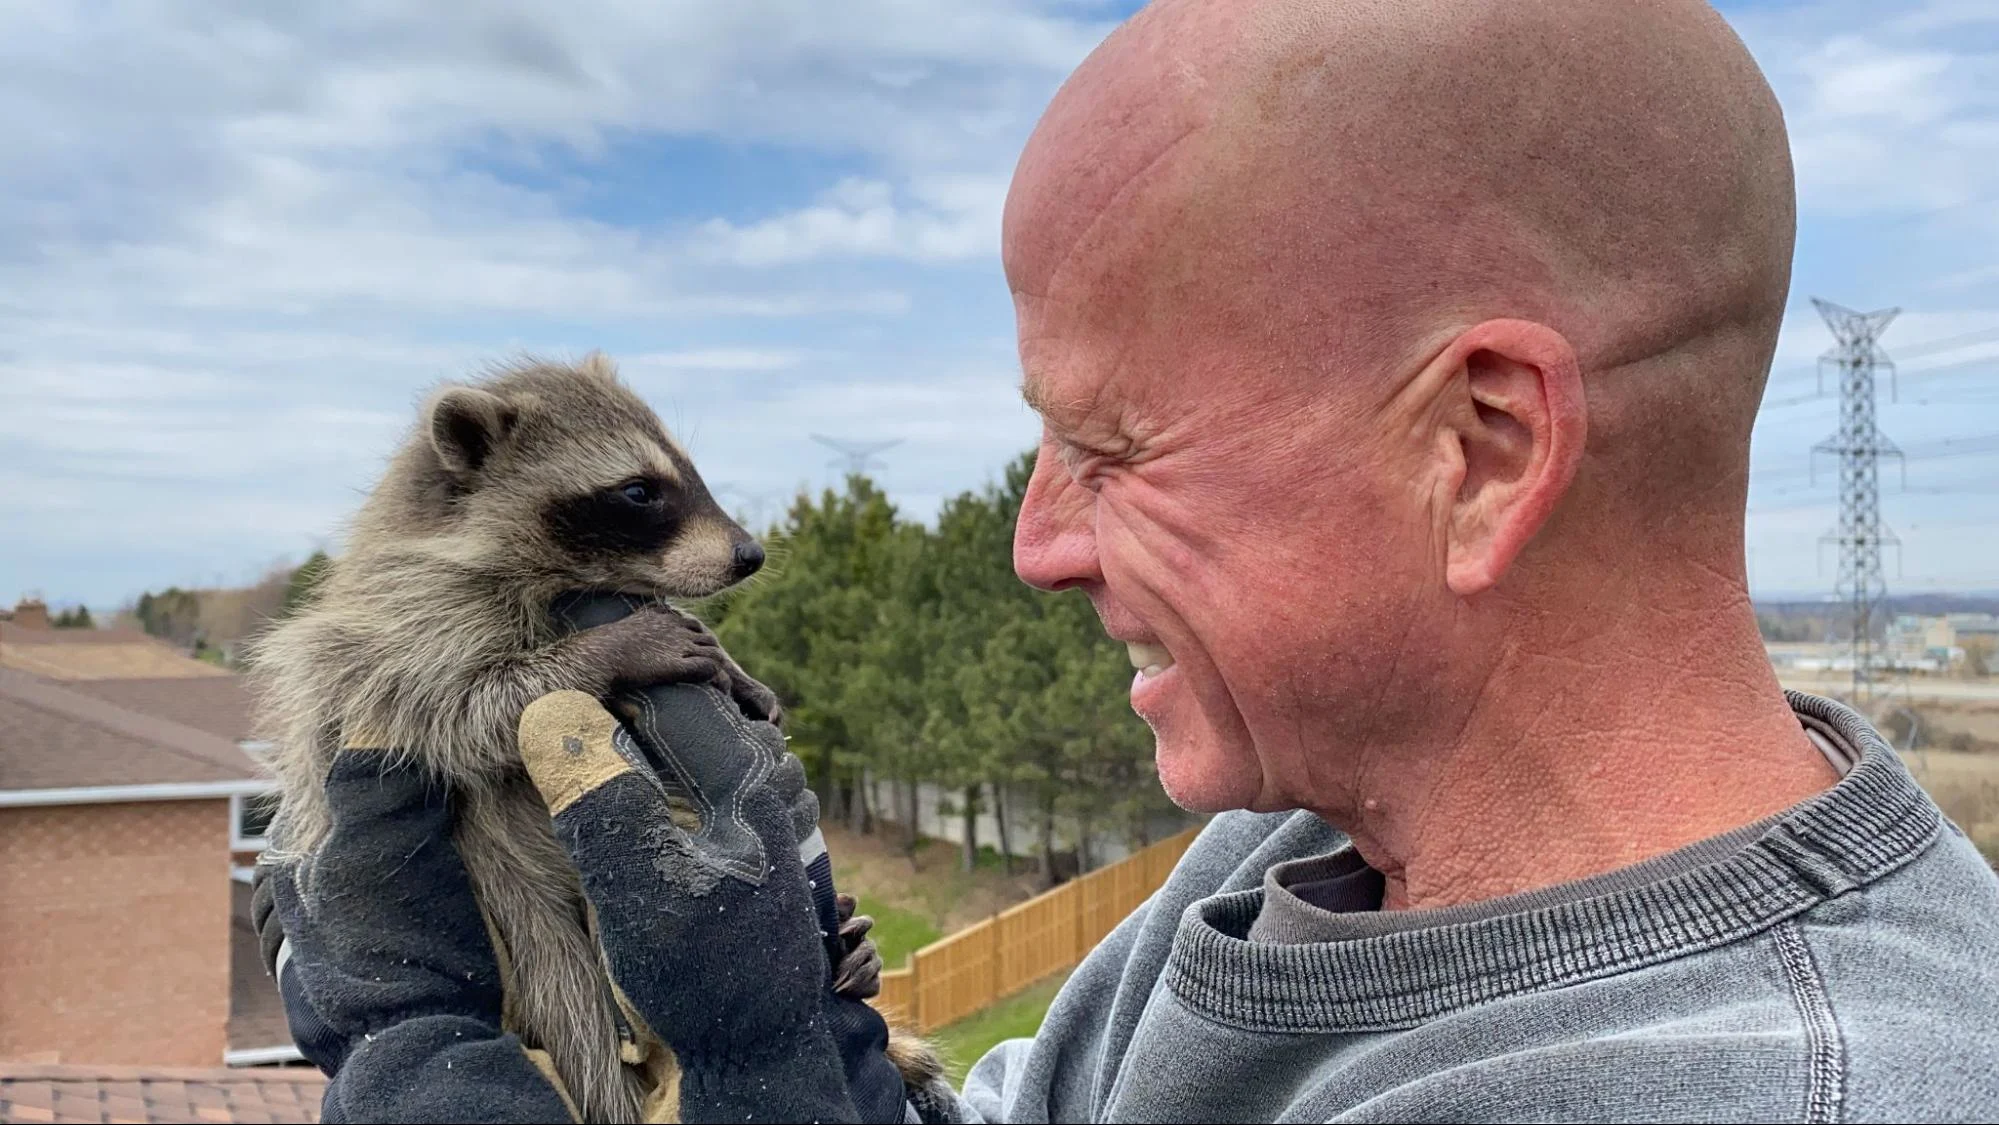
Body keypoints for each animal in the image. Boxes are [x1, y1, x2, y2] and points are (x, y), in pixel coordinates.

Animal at [248, 354, 927, 1122]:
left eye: (689, 472)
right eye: (638, 491)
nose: (749, 554)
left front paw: (728, 661)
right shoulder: (405, 634)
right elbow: (468, 706)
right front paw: (609, 650)